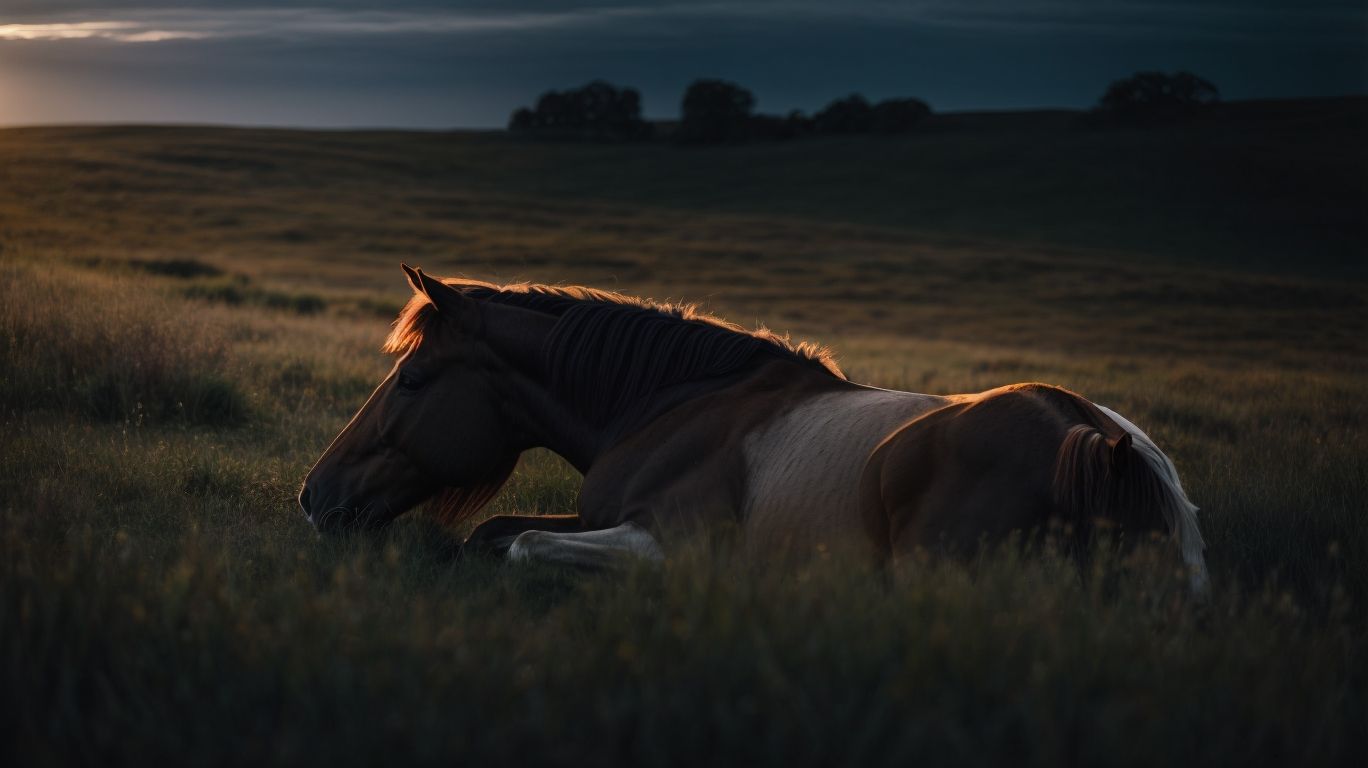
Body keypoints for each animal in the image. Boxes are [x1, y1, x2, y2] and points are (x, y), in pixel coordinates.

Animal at [300, 265, 1209, 592]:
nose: (313, 496)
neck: (676, 404)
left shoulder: (670, 540)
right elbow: (494, 531)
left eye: (412, 378)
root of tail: (1093, 443)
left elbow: (517, 544)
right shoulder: (601, 516)